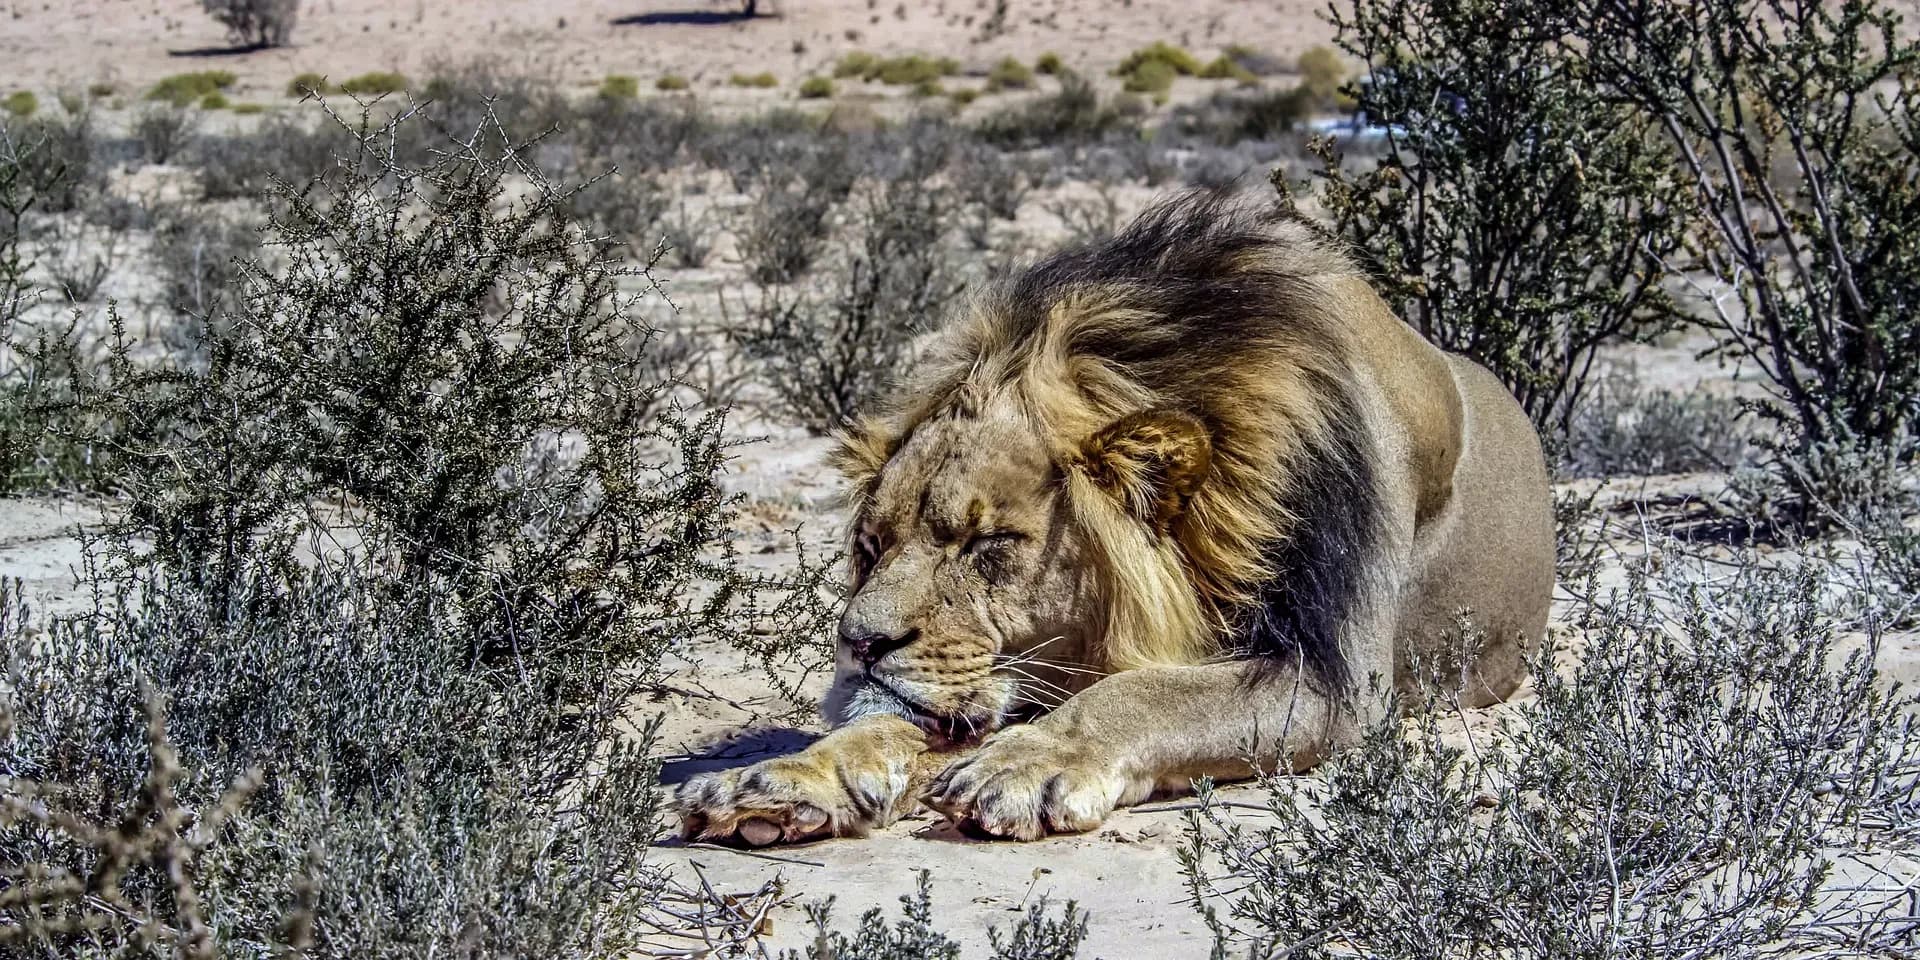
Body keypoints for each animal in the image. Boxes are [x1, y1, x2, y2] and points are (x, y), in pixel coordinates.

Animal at [678, 190, 1554, 845]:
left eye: (988, 544)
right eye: (869, 547)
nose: (858, 646)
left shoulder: (1332, 677)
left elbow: (1147, 691)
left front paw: (1027, 763)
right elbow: (902, 724)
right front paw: (785, 776)